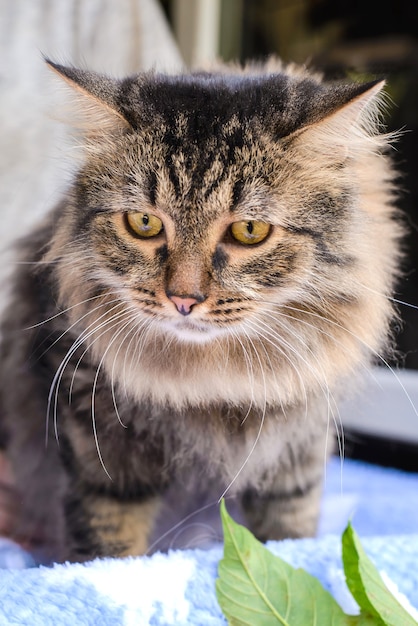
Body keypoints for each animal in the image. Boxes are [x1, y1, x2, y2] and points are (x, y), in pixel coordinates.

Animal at [0, 59, 402, 560]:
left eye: (249, 231)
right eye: (144, 223)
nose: (184, 299)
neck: (212, 378)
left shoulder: (299, 435)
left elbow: (290, 525)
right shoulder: (97, 431)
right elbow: (107, 536)